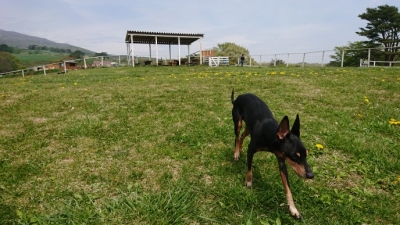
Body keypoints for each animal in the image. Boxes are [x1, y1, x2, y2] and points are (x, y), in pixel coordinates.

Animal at [230, 89, 314, 218]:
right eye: (295, 156)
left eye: (306, 155)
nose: (311, 175)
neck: (270, 135)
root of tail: (239, 96)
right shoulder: (251, 149)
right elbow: (249, 169)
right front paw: (248, 182)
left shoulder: (281, 160)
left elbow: (287, 188)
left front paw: (293, 209)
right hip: (238, 122)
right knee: (237, 137)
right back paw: (236, 153)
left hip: (248, 127)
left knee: (243, 136)